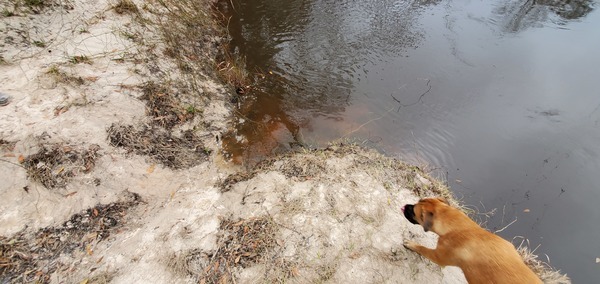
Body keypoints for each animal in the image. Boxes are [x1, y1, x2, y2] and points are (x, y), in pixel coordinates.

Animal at [400, 197, 540, 284]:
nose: (406, 206)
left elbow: (422, 248)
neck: (460, 227)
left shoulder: (438, 256)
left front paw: (411, 244)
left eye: (413, 211)